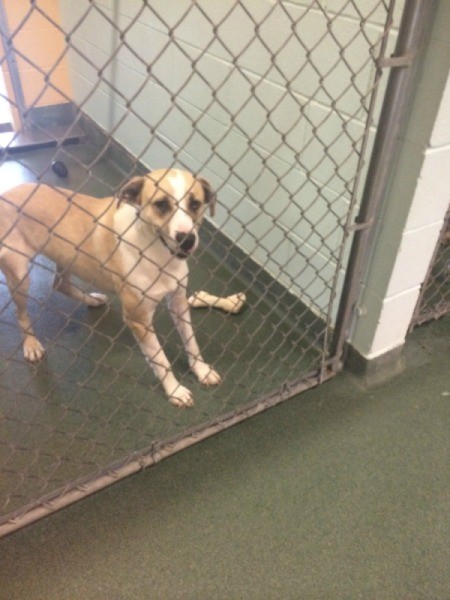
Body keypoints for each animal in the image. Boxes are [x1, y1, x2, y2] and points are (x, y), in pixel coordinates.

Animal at [0, 166, 221, 406]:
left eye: (195, 204)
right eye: (161, 204)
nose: (187, 240)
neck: (157, 252)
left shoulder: (179, 302)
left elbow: (191, 341)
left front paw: (201, 370)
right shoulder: (138, 319)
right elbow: (161, 359)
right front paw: (175, 390)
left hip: (68, 257)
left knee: (61, 285)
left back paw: (93, 299)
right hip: (20, 274)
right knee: (22, 312)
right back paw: (31, 344)